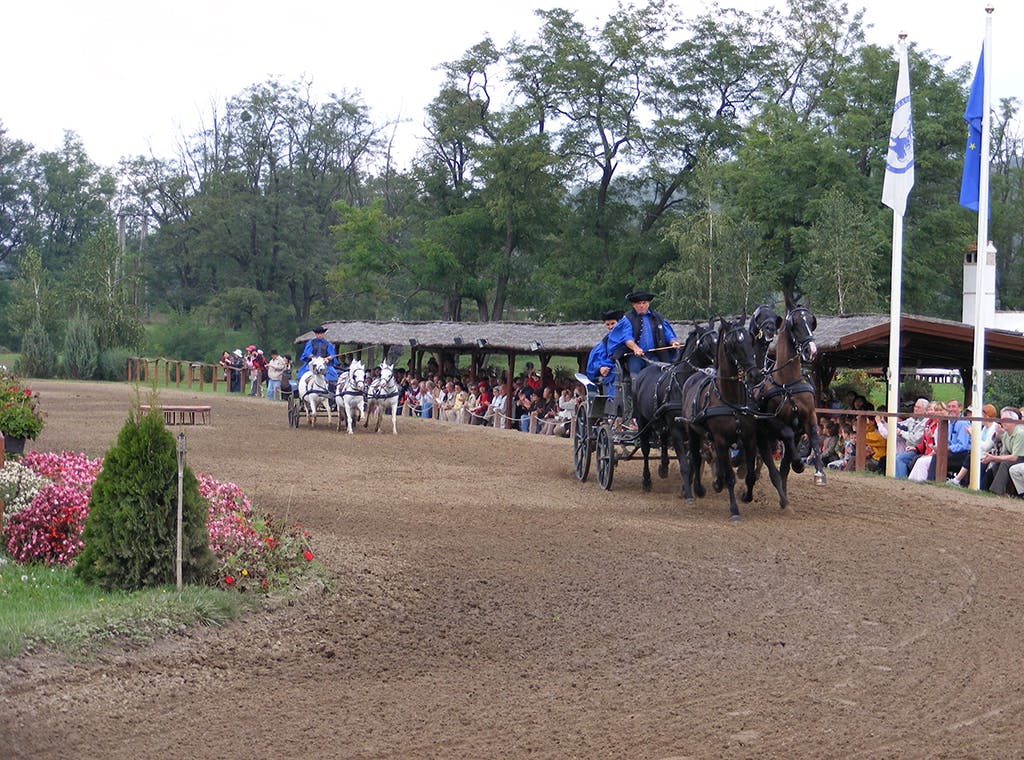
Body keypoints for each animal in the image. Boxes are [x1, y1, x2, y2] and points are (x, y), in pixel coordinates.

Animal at [630, 323, 720, 497]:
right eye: (706, 343)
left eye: (718, 338)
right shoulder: (677, 428)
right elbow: (685, 462)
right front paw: (688, 490)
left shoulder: (694, 429)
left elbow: (695, 458)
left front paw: (694, 488)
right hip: (642, 420)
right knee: (645, 449)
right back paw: (646, 481)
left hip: (660, 421)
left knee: (664, 439)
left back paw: (664, 468)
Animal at [679, 317, 761, 524]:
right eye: (732, 344)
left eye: (750, 340)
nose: (755, 375)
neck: (731, 400)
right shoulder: (721, 439)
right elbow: (731, 477)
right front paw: (734, 510)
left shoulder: (749, 438)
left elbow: (749, 475)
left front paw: (746, 496)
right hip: (692, 432)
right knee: (696, 457)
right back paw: (698, 489)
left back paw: (717, 482)